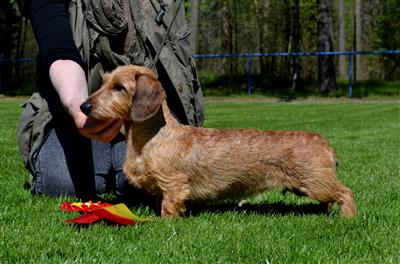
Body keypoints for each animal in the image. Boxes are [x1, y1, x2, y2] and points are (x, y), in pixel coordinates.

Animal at [80, 64, 356, 219]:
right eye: (103, 83)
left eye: (119, 87)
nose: (84, 106)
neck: (153, 136)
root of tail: (324, 143)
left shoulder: (174, 183)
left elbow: (170, 205)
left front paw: (166, 223)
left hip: (316, 181)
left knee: (345, 192)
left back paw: (348, 218)